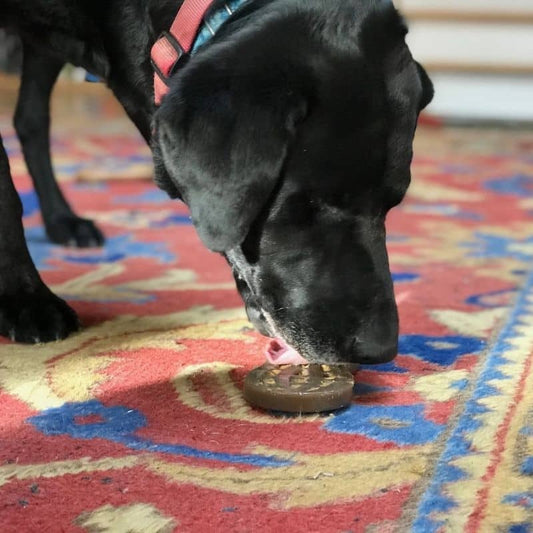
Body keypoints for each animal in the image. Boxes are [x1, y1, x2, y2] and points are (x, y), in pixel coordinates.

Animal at [0, 0, 432, 362]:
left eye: (393, 203)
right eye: (307, 206)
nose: (380, 350)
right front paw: (27, 300)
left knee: (31, 119)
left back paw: (62, 220)